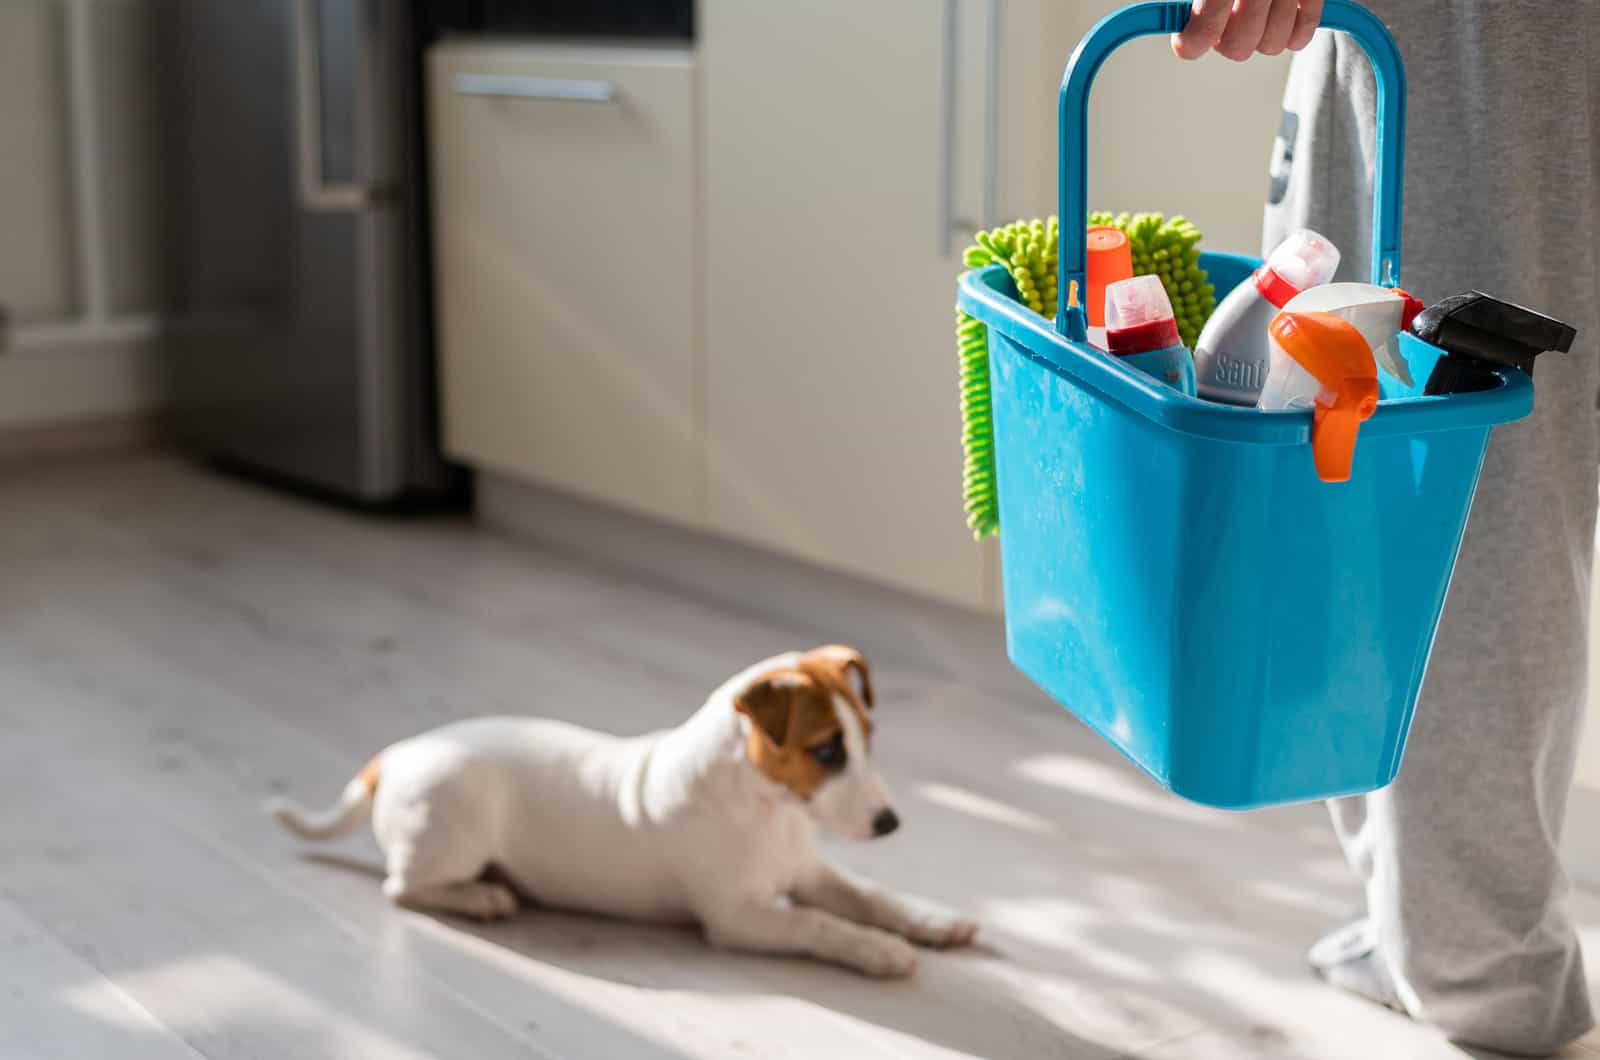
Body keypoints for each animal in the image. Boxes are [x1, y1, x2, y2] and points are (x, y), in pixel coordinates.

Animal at [265, 643, 972, 973]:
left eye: (867, 739)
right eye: (825, 751)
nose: (890, 824)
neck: (764, 808)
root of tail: (396, 754)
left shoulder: (809, 872)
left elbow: (871, 896)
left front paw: (933, 919)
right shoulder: (740, 919)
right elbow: (819, 925)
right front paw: (879, 951)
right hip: (450, 835)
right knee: (402, 887)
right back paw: (482, 898)